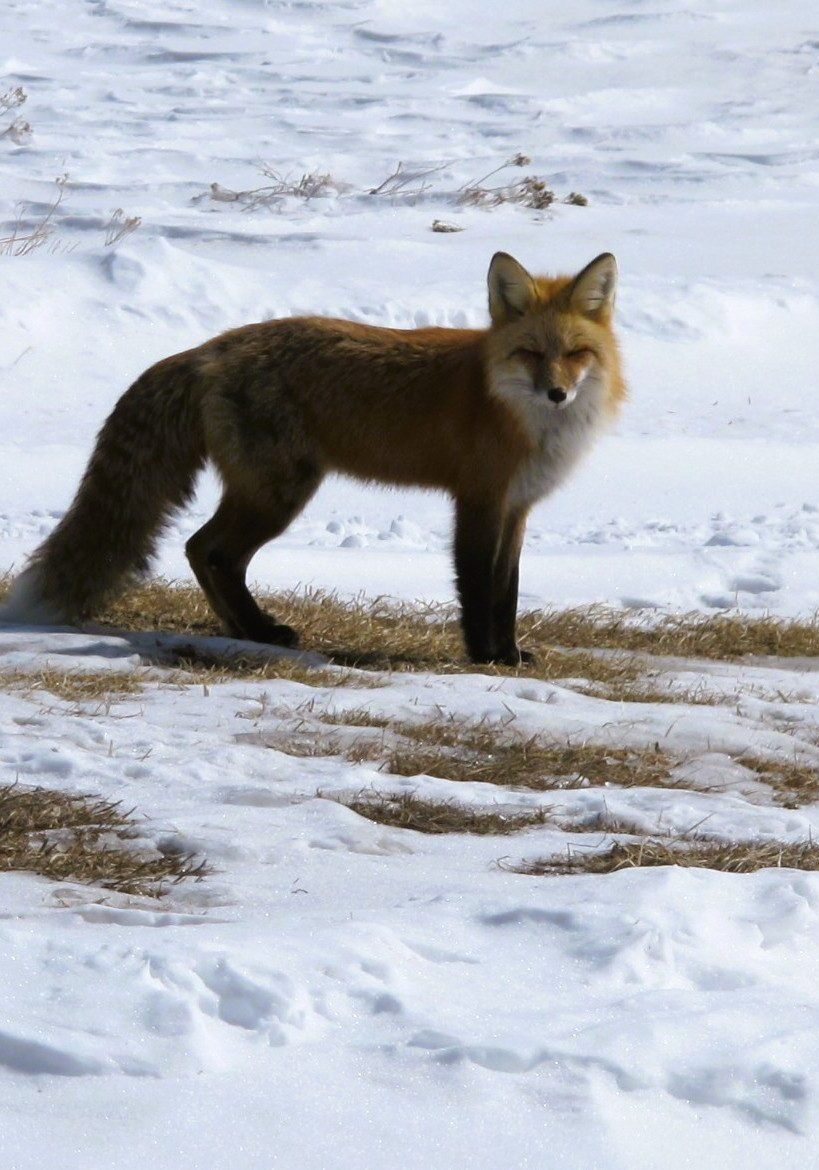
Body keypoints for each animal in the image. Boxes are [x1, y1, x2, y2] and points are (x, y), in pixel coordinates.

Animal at [0, 251, 625, 665]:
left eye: (576, 353)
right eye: (530, 353)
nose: (557, 394)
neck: (522, 419)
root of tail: (206, 349)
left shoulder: (516, 508)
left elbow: (507, 590)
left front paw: (511, 654)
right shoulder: (476, 501)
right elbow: (476, 587)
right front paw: (483, 657)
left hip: (270, 492)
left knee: (204, 551)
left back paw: (246, 630)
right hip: (281, 493)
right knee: (208, 550)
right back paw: (259, 630)